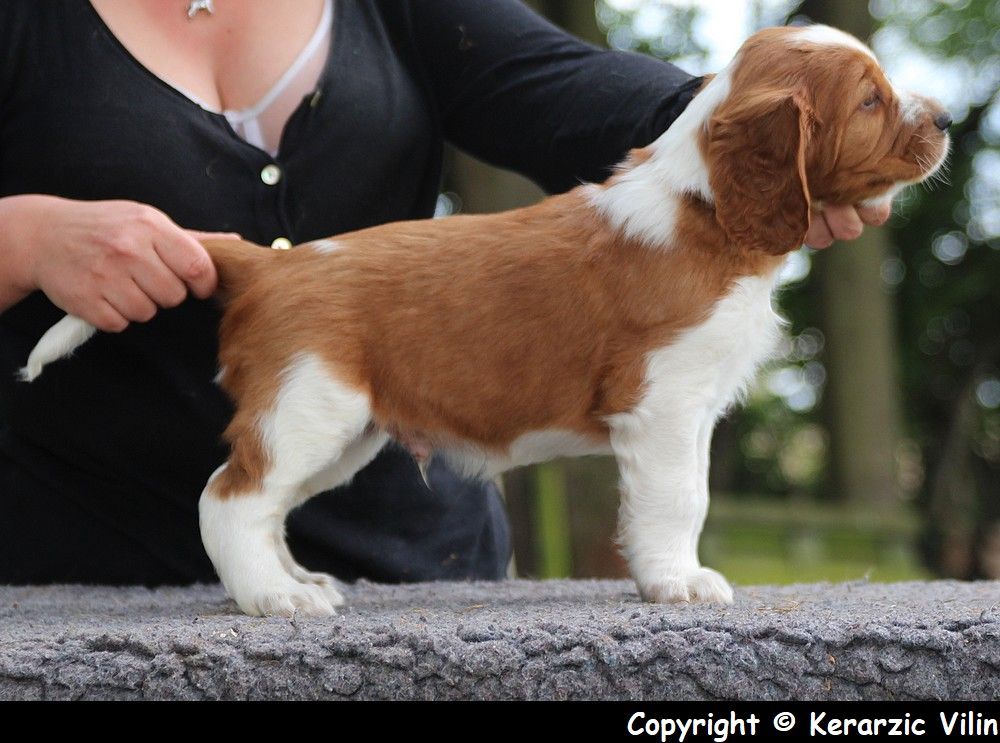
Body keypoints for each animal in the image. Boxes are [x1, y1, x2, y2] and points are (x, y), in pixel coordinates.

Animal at [19, 24, 948, 616]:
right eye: (871, 101)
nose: (945, 119)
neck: (707, 212)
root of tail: (272, 261)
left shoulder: (687, 411)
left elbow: (686, 493)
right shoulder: (663, 403)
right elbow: (680, 499)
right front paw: (677, 583)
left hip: (346, 429)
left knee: (264, 503)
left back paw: (303, 581)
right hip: (308, 408)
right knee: (230, 498)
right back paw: (275, 598)